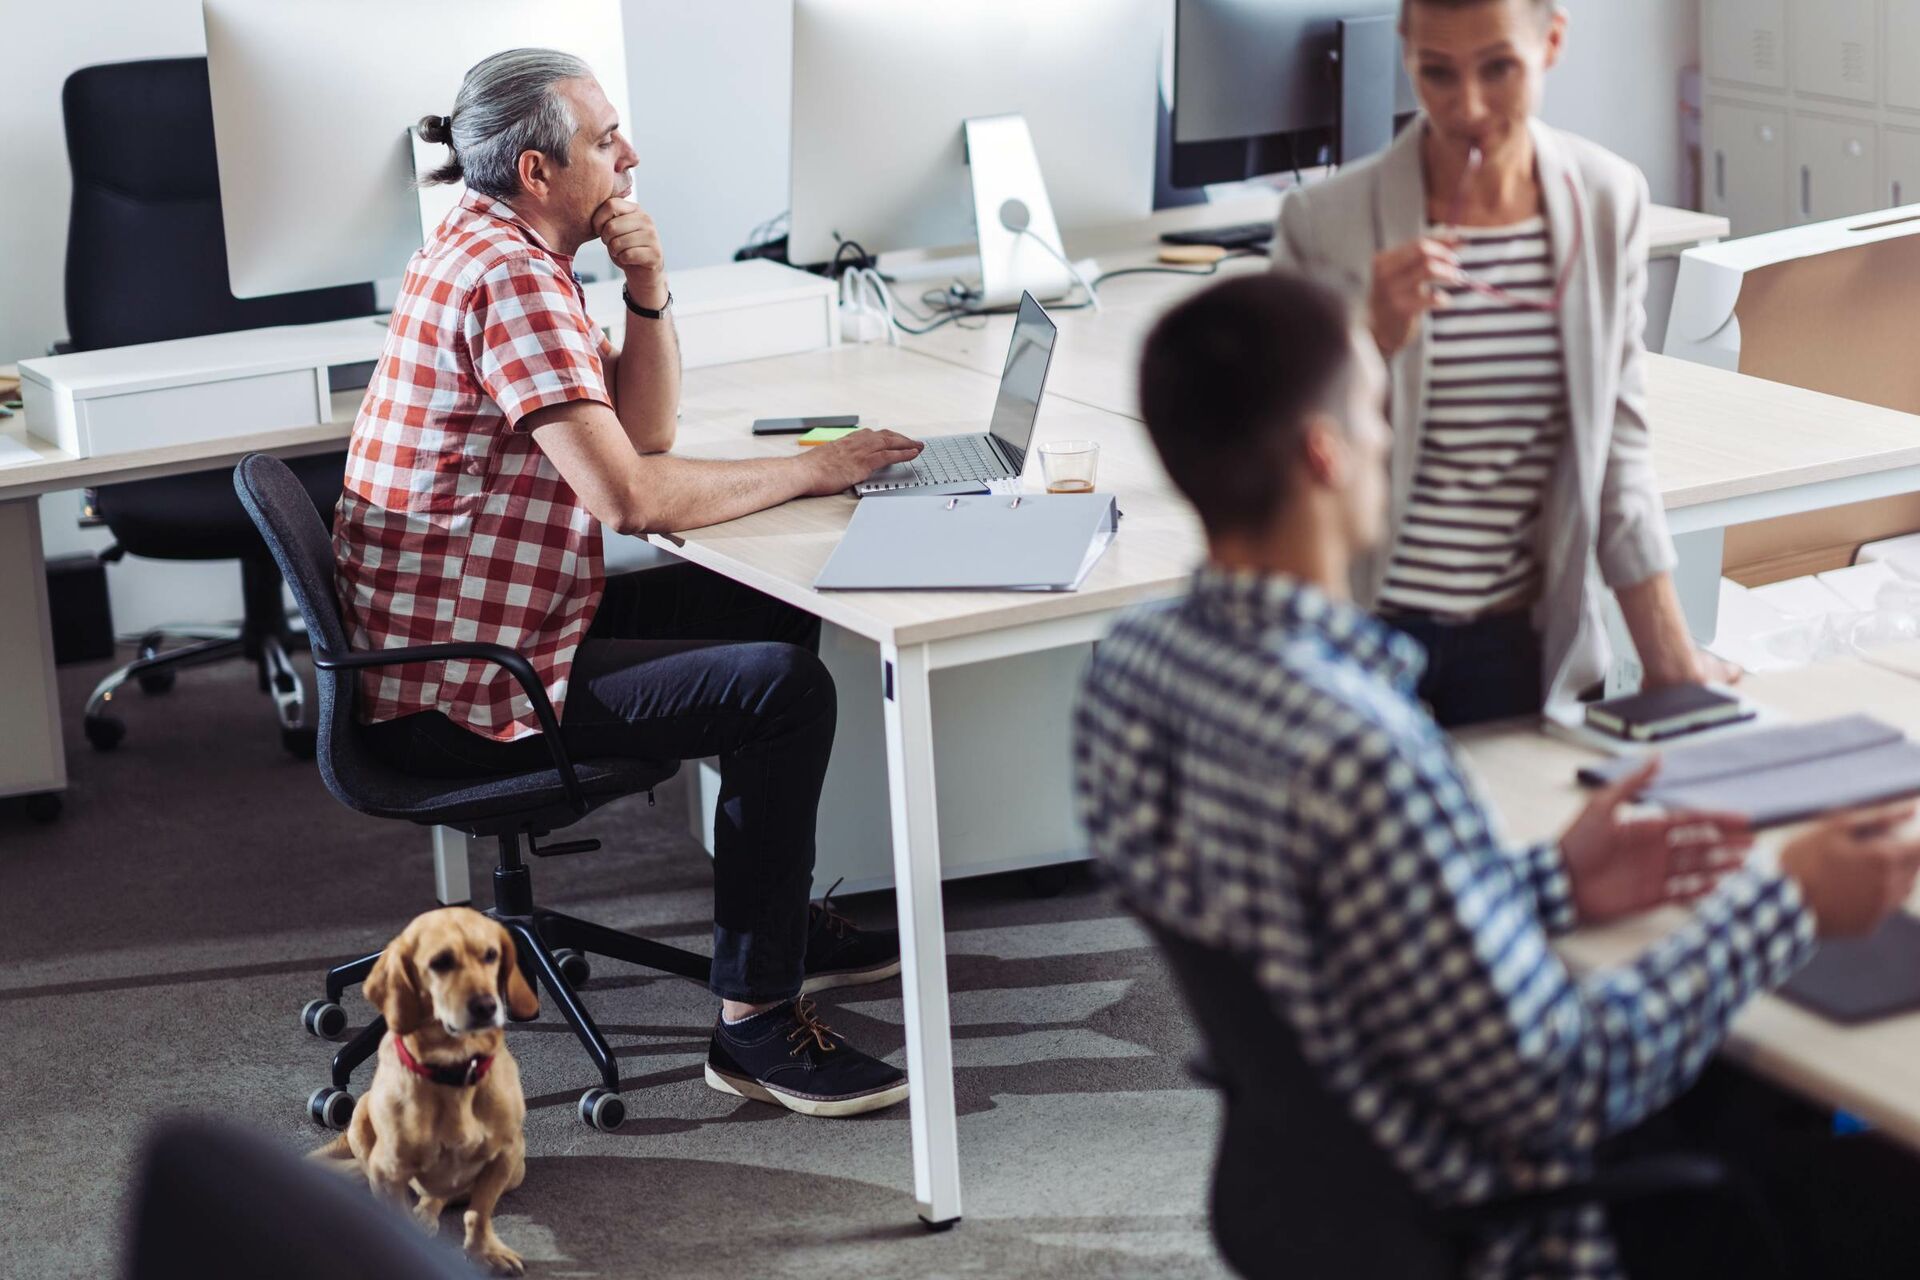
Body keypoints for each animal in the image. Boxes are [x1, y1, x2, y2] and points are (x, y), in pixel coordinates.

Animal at [314, 905, 541, 1274]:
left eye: (491, 955)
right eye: (440, 962)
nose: (487, 1006)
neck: (454, 1071)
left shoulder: (503, 1157)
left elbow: (478, 1213)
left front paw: (483, 1251)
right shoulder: (387, 1170)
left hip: (516, 1168)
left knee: (439, 1197)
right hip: (361, 1120)